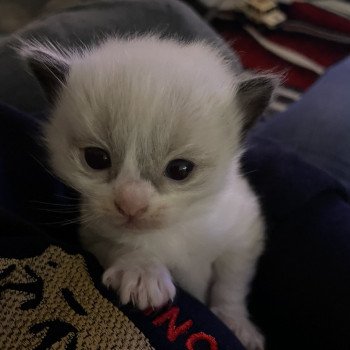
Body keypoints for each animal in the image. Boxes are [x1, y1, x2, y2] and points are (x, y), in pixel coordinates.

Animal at [21, 35, 276, 350]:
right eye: (96, 159)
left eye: (180, 169)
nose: (131, 204)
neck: (173, 231)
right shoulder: (94, 233)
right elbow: (124, 245)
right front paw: (143, 273)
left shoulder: (243, 234)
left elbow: (231, 283)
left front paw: (236, 323)